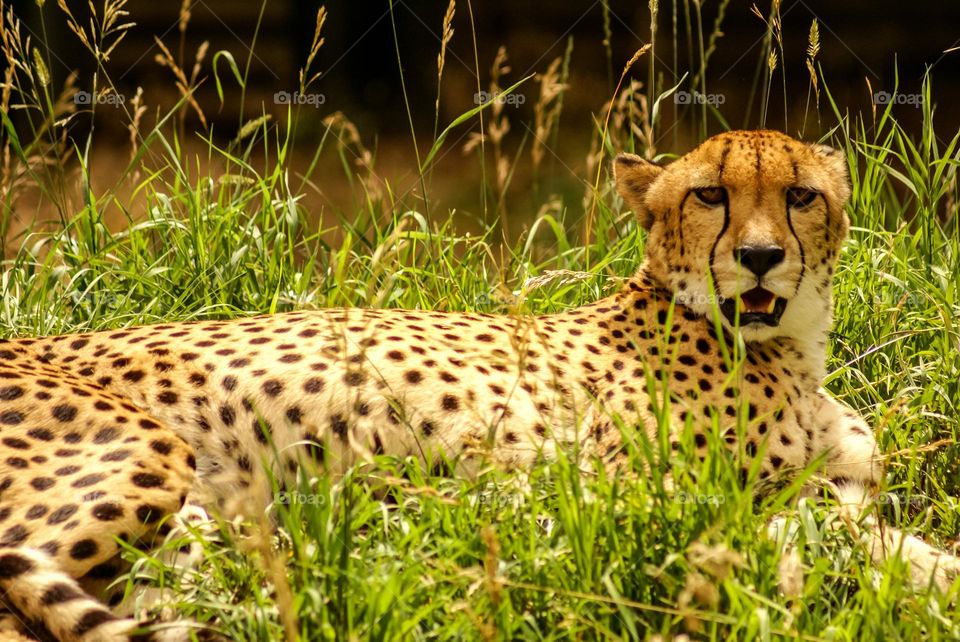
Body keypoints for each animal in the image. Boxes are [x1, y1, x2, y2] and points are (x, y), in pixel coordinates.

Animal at [0, 129, 957, 641]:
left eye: (801, 196)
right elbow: (820, 541)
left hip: (205, 523)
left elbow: (863, 532)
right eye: (711, 196)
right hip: (145, 458)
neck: (789, 348)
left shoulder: (830, 490)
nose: (759, 257)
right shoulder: (646, 496)